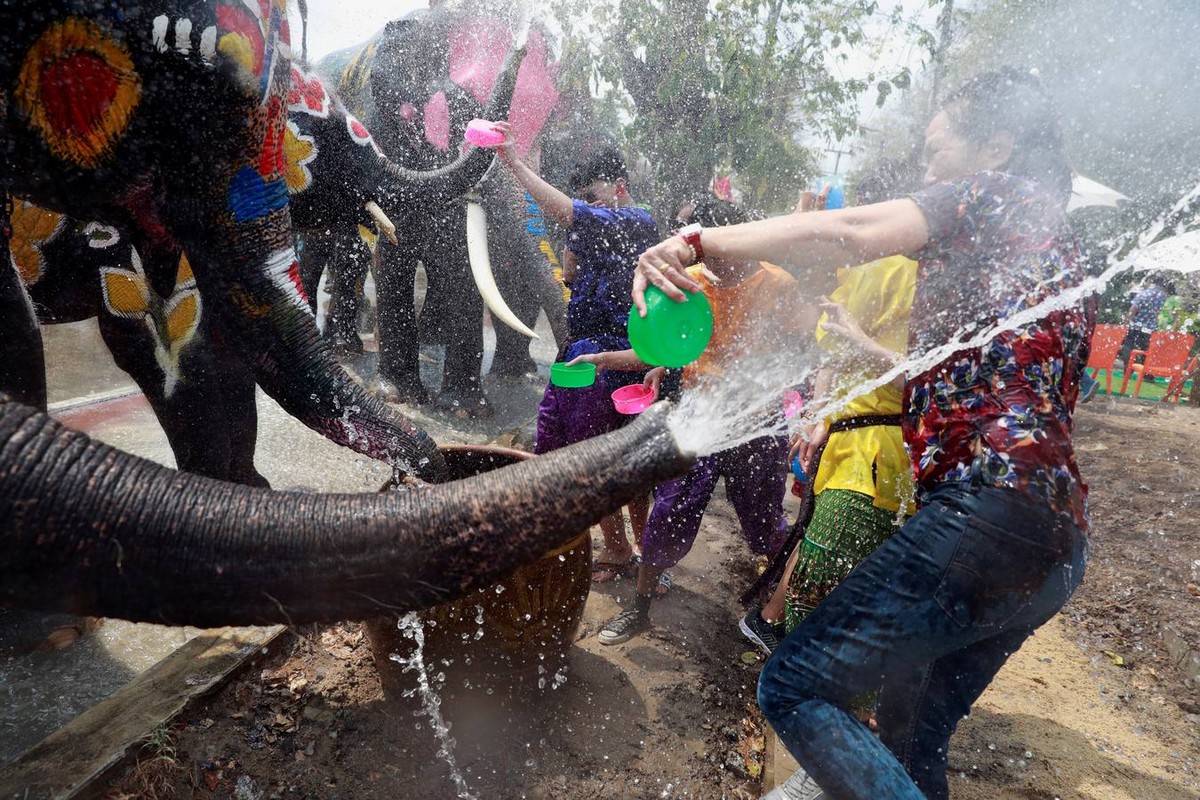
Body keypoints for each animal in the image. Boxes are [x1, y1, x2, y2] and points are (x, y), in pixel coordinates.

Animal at [314, 4, 566, 419]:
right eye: (459, 104)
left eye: (546, 116)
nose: (522, 42)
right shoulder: (381, 127)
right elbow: (396, 246)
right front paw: (399, 396)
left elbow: (462, 261)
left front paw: (467, 409)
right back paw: (343, 349)